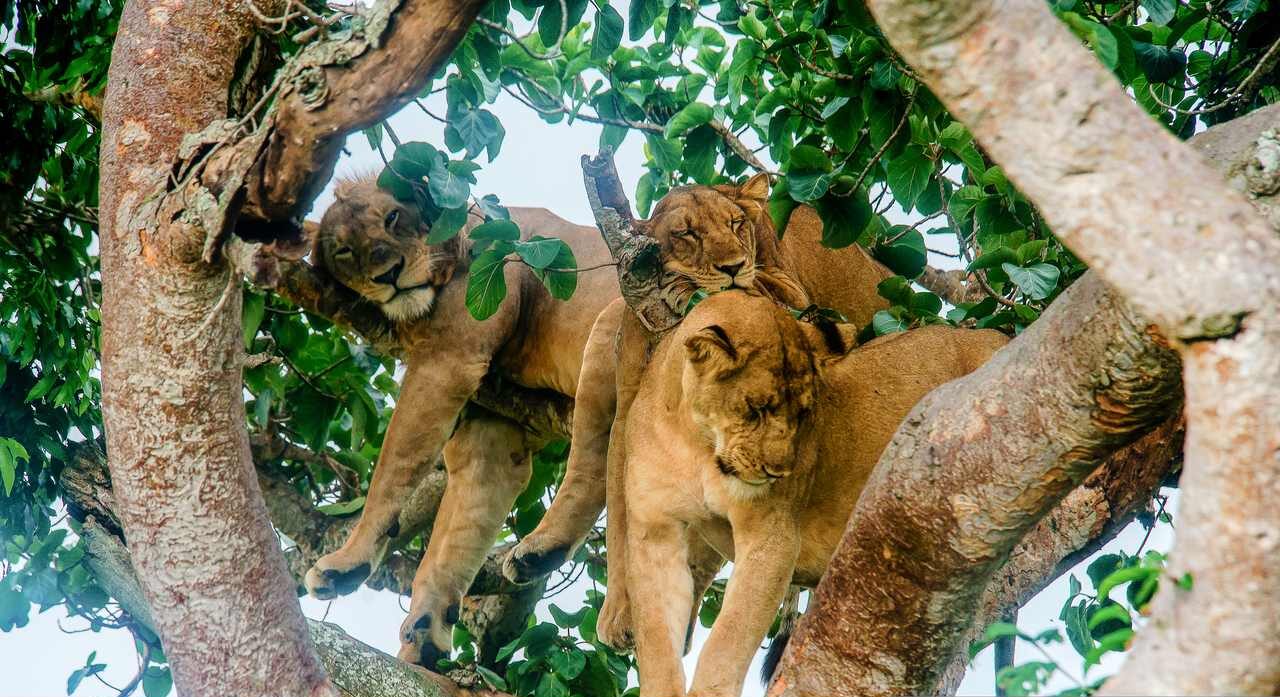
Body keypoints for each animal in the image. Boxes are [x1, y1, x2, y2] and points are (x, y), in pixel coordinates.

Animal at [619, 289, 1008, 695]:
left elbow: (729, 638)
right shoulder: (654, 532)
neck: (697, 445)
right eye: (757, 408)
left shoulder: (772, 535)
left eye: (804, 414)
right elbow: (656, 637)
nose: (778, 472)